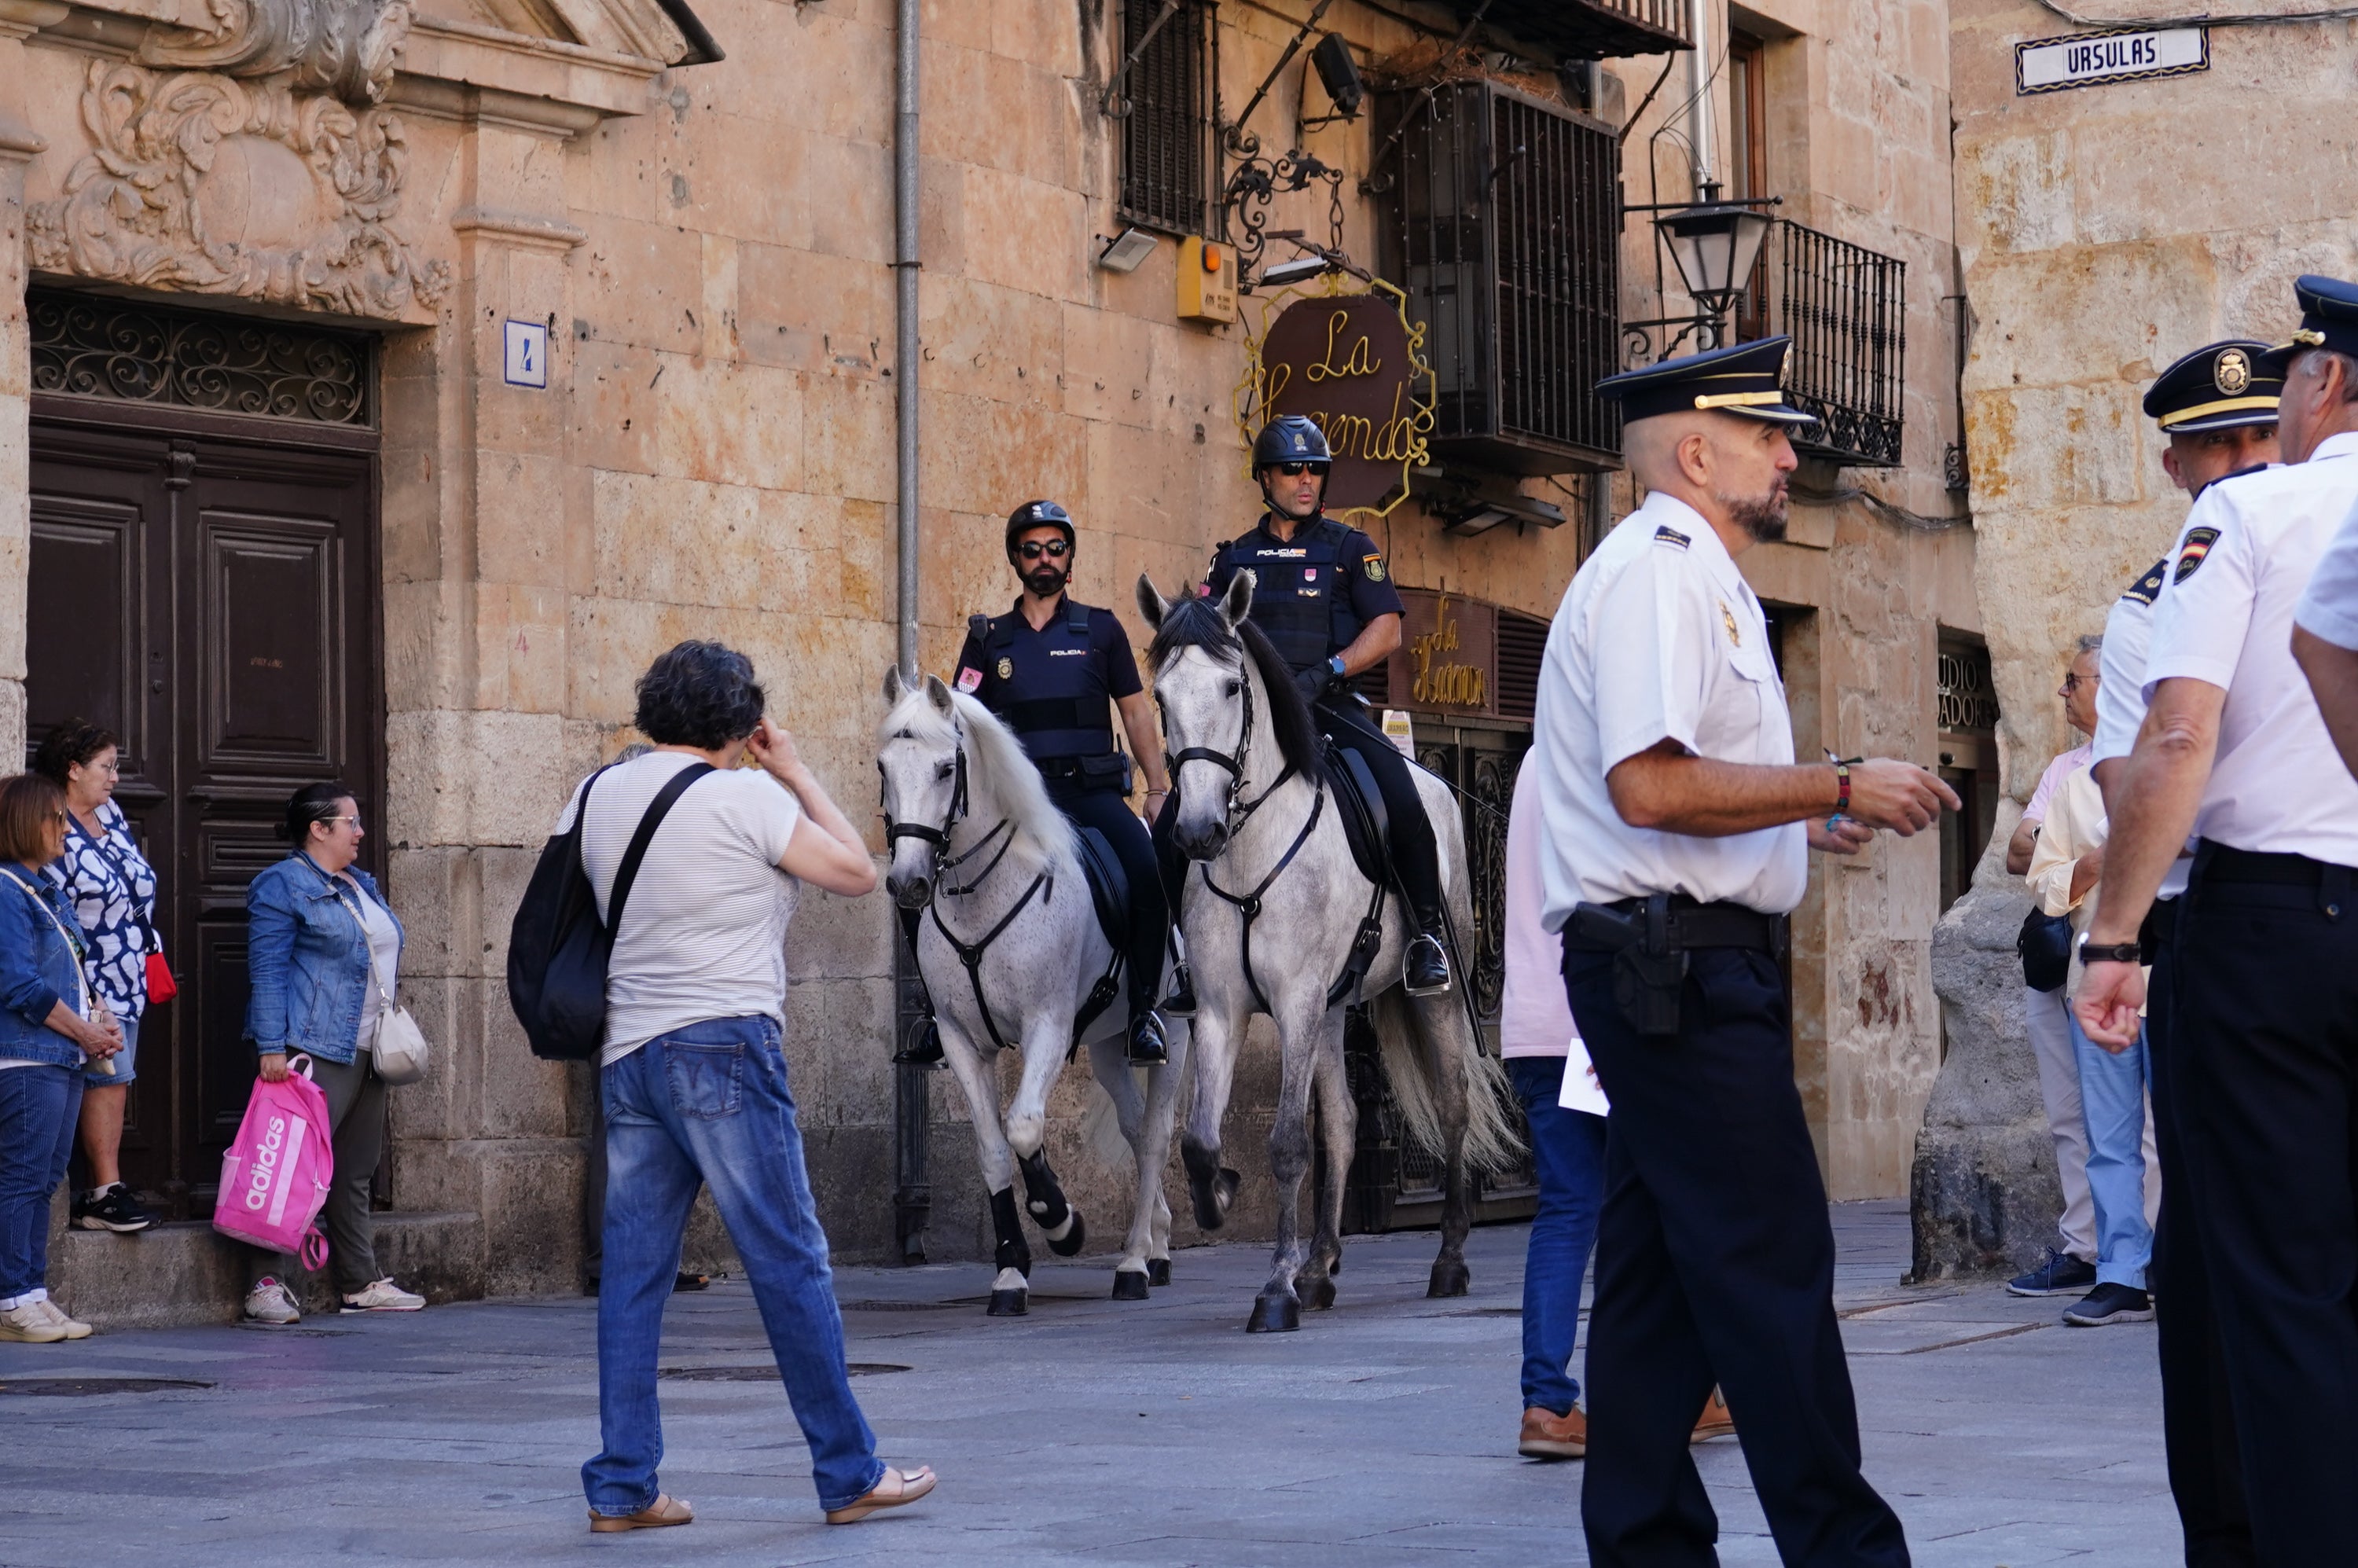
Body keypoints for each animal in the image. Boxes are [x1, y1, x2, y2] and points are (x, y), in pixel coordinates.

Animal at [877, 665, 1188, 1311]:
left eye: (945, 769)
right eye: (883, 768)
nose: (908, 882)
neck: (980, 893)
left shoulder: (1047, 1024)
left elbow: (1024, 1126)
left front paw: (1060, 1220)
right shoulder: (962, 1041)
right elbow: (995, 1149)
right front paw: (1010, 1271)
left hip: (1173, 1032)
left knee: (1152, 1136)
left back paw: (1133, 1262)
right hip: (1106, 1045)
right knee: (1133, 1124)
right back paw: (1157, 1243)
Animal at [1132, 575, 1519, 1330]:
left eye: (1231, 686)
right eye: (1160, 696)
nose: (1196, 831)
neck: (1250, 851)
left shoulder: (1296, 1001)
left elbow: (1287, 1143)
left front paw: (1275, 1287)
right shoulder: (1221, 1010)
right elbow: (1199, 1140)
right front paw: (1221, 1198)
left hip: (1435, 992)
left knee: (1453, 1102)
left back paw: (1448, 1259)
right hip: (1336, 1006)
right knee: (1341, 1120)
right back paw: (1320, 1264)